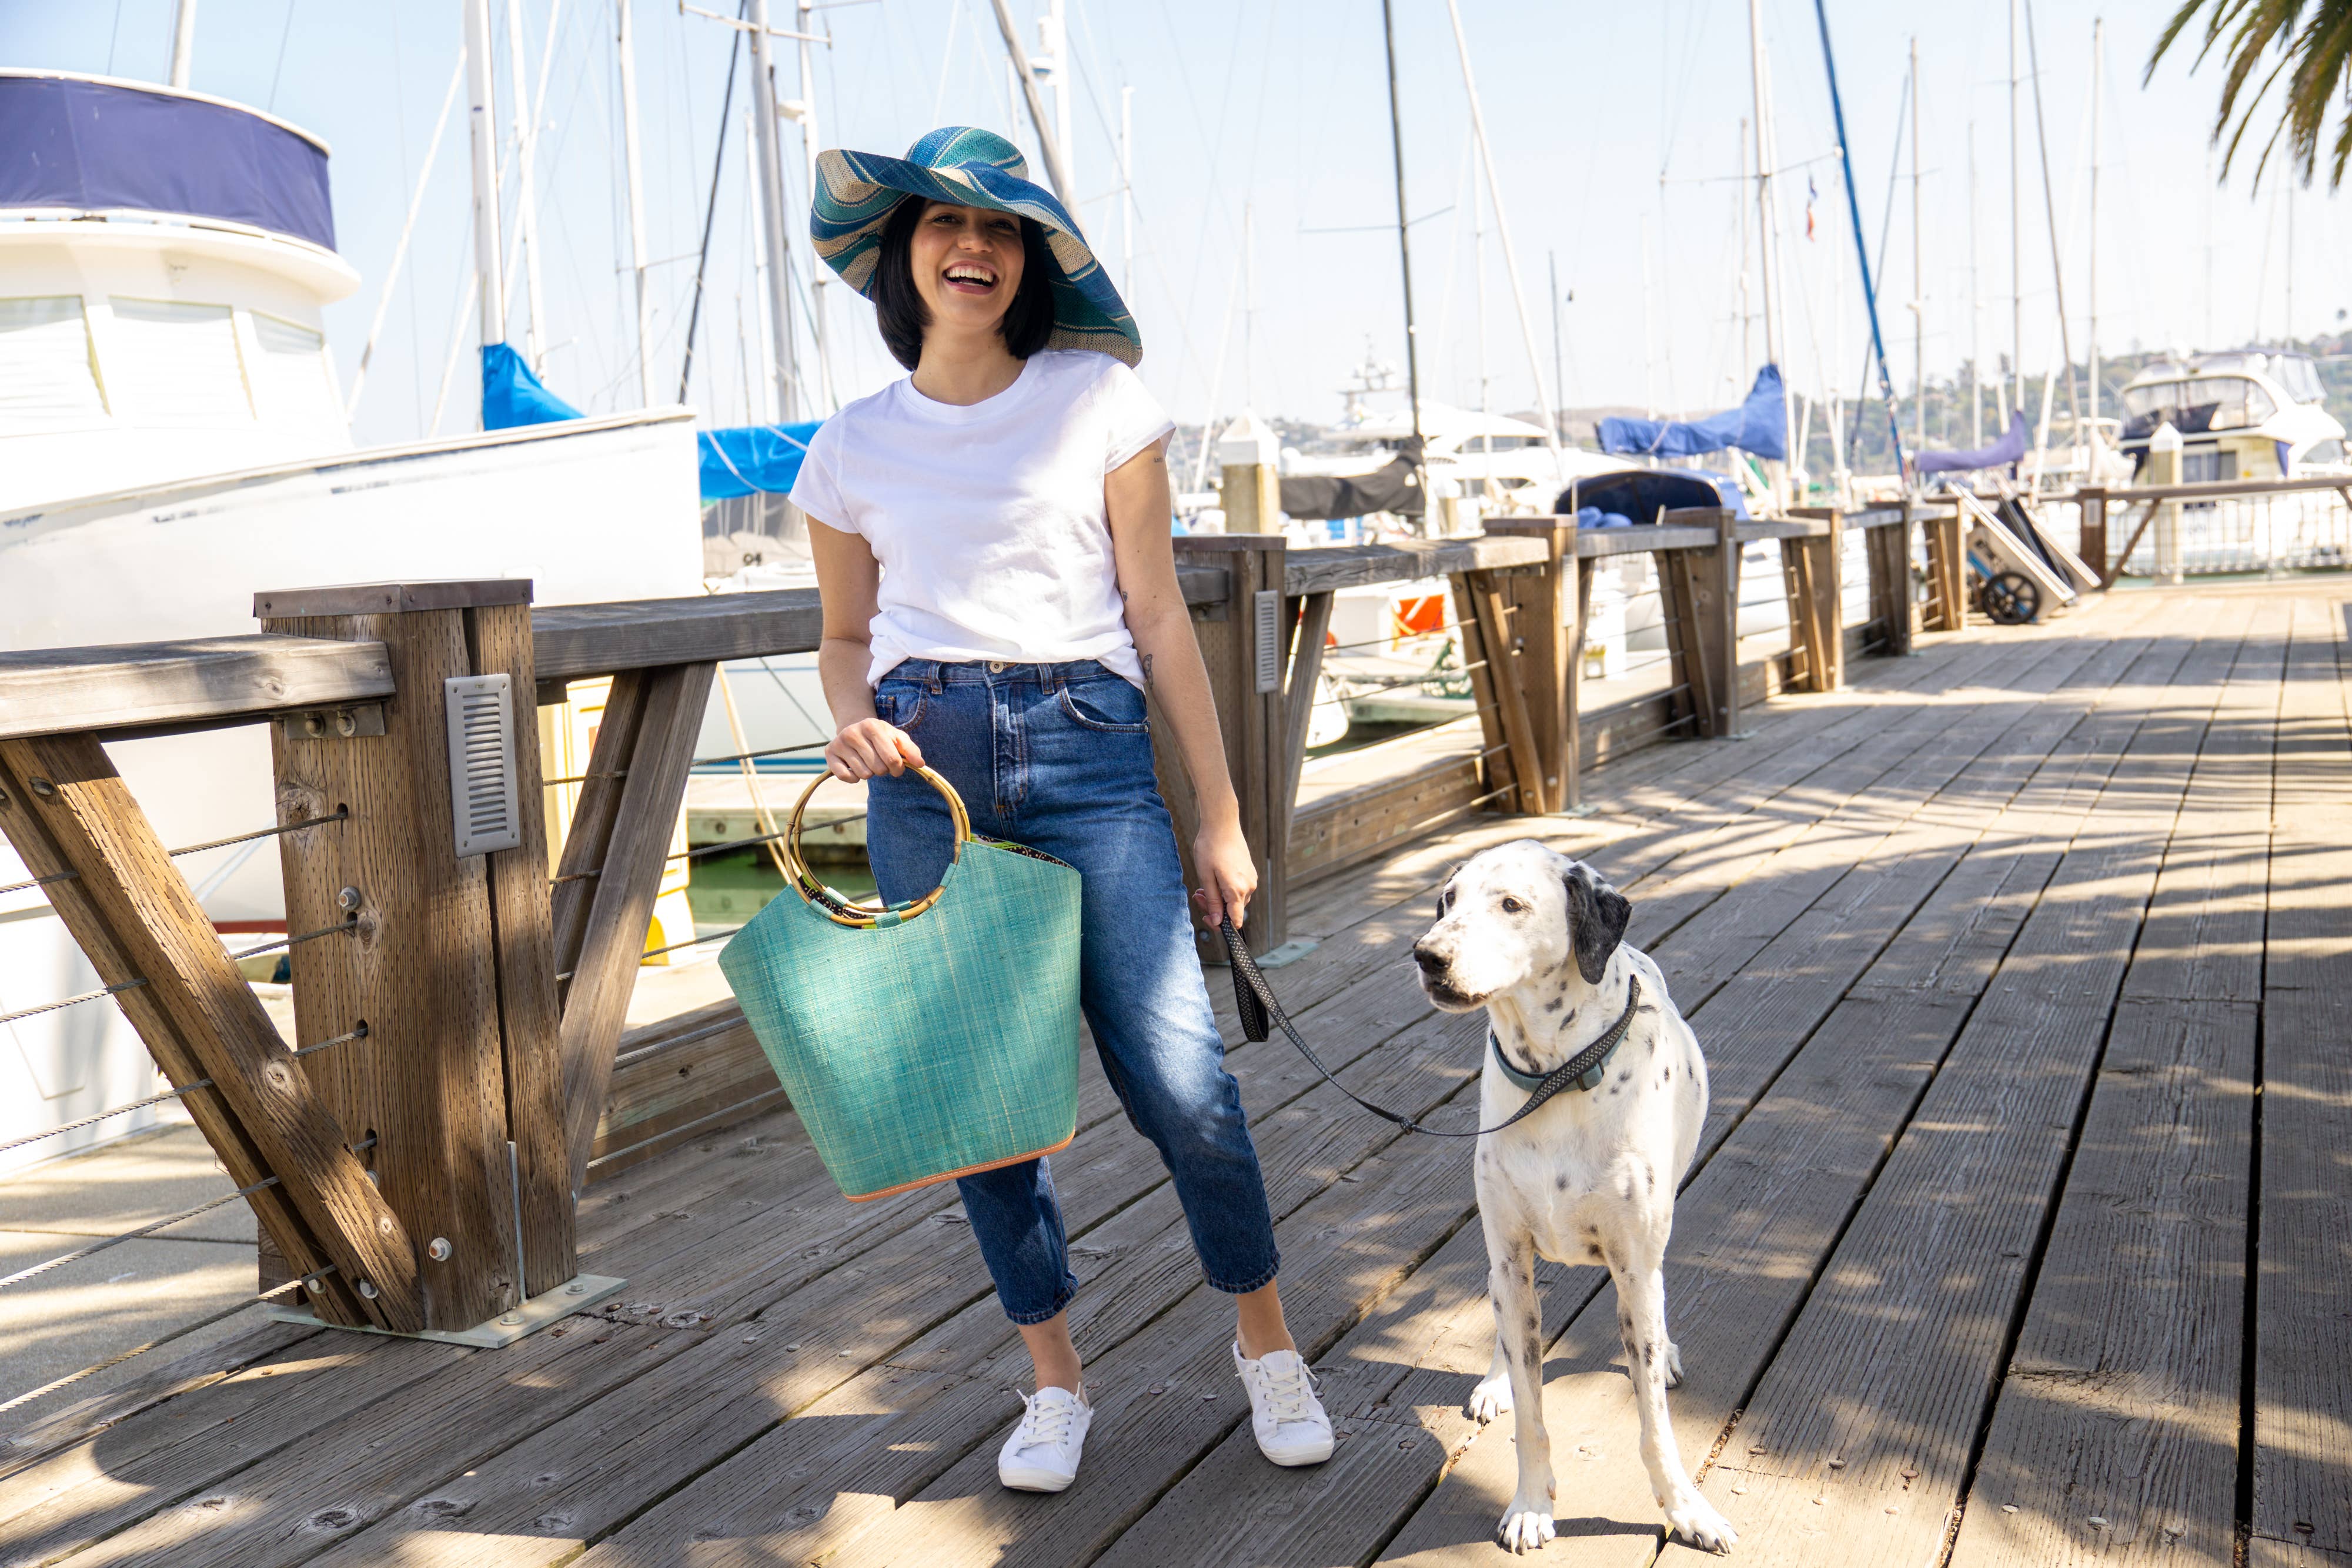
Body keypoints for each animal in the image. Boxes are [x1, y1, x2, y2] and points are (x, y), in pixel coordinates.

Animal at [1402, 841, 1740, 1552]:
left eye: (1512, 903)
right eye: (1447, 901)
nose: (1427, 954)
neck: (1552, 1079)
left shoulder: (1634, 1270)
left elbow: (1656, 1427)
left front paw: (1687, 1511)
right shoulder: (1511, 1259)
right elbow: (1532, 1417)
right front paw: (1531, 1505)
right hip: (1506, 1266)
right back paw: (1496, 1379)